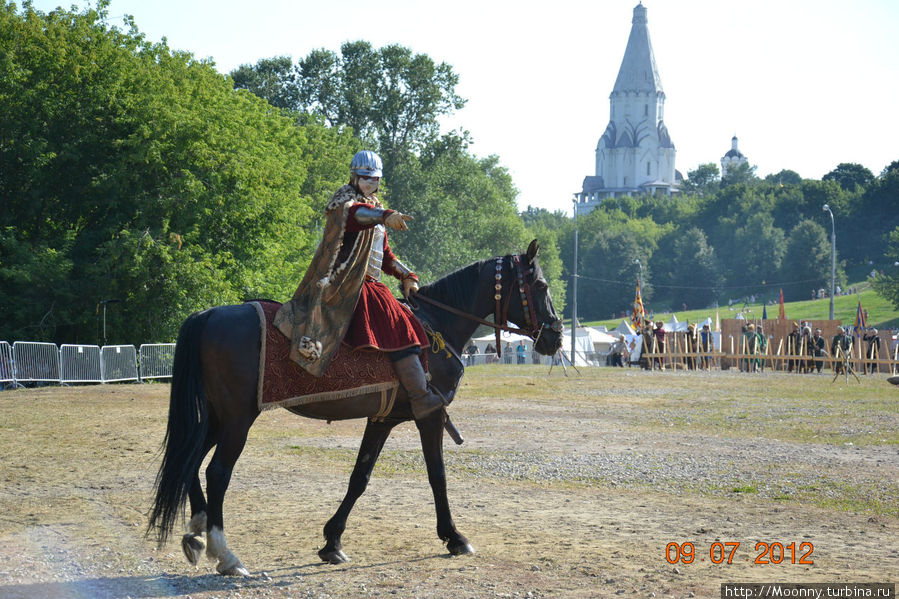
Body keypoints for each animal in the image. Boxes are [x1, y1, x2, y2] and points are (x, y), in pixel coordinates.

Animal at [151, 239, 568, 576]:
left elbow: (360, 478)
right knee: (217, 472)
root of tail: (208, 314)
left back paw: (197, 532)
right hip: (238, 419)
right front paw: (454, 536)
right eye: (540, 286)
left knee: (188, 460)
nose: (555, 335)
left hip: (218, 418)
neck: (436, 327)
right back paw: (227, 556)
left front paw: (332, 542)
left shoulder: (383, 418)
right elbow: (438, 476)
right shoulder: (430, 417)